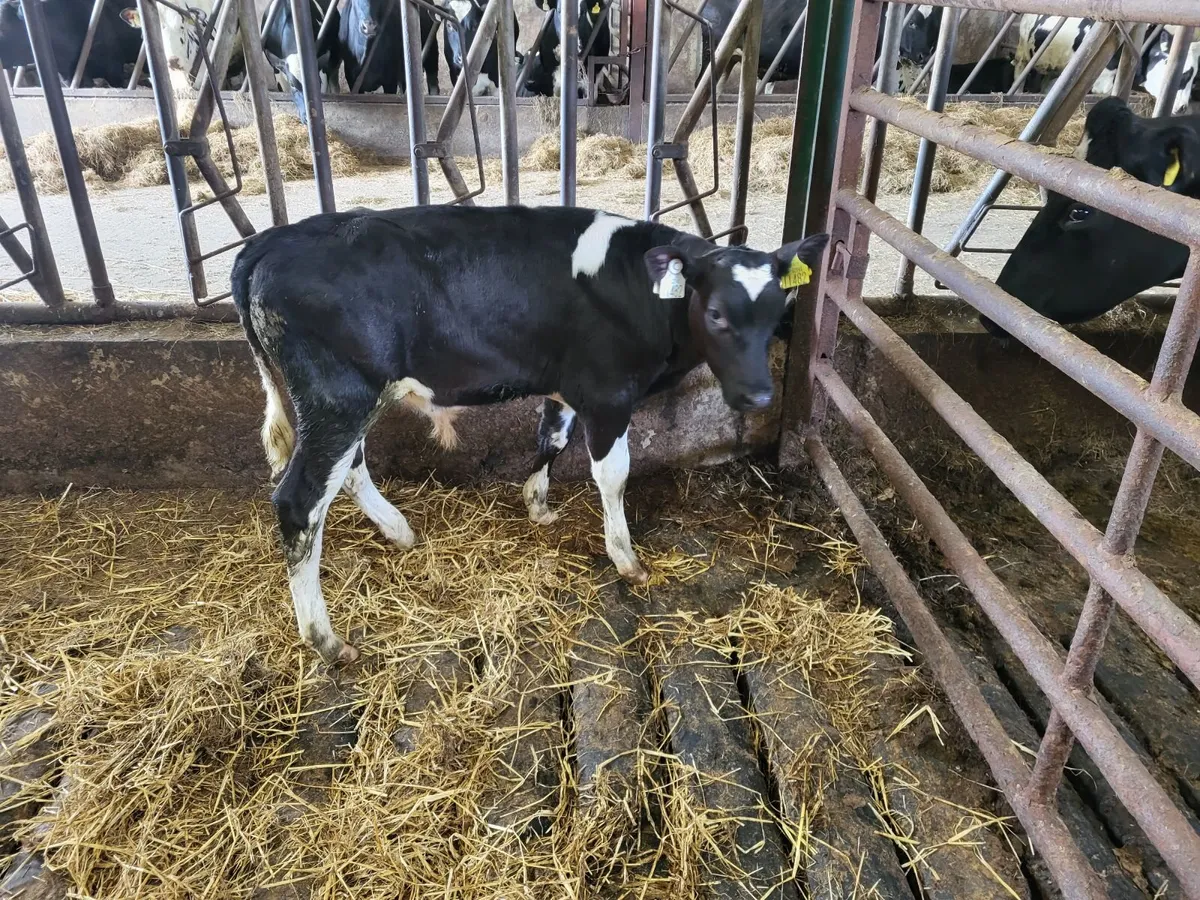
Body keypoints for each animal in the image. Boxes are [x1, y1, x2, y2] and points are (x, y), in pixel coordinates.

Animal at [231, 204, 828, 664]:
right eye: (717, 312)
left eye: (779, 309)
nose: (759, 397)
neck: (641, 289)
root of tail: (270, 240)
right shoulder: (609, 395)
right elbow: (613, 476)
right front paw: (626, 559)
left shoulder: (567, 385)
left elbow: (551, 438)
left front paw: (537, 505)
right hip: (338, 399)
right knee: (300, 499)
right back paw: (325, 639)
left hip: (347, 403)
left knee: (348, 471)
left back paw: (399, 532)